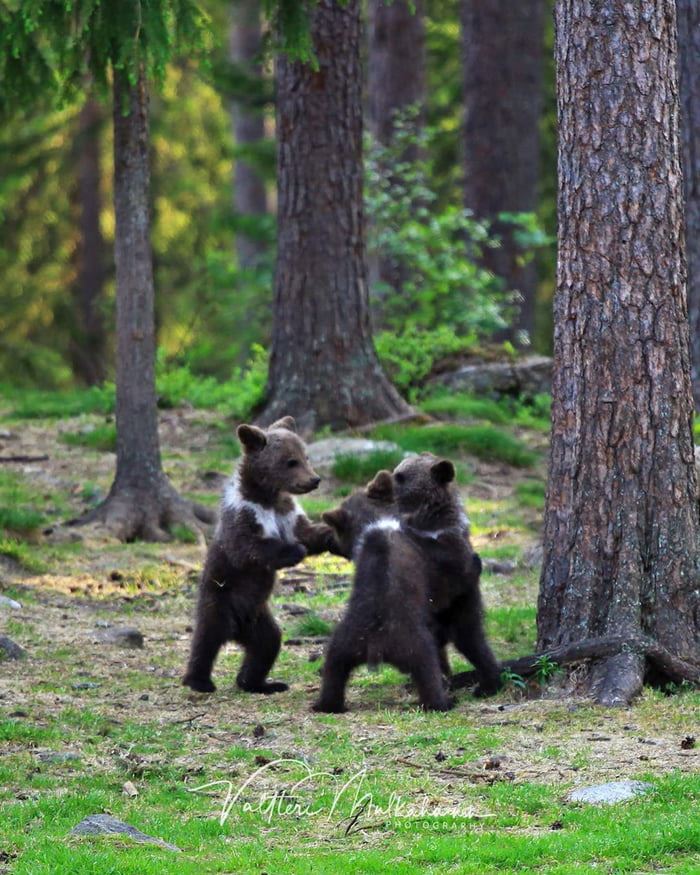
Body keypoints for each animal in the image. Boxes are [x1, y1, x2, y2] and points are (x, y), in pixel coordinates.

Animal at [182, 416, 336, 695]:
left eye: (306, 456)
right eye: (291, 461)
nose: (315, 480)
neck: (267, 496)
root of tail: (237, 630)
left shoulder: (287, 513)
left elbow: (306, 531)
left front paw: (331, 533)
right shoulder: (244, 515)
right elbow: (249, 549)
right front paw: (295, 551)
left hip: (258, 618)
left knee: (267, 644)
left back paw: (260, 683)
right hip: (220, 600)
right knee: (206, 640)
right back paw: (199, 681)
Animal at [314, 471, 453, 713]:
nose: (330, 543)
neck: (375, 522)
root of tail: (375, 644)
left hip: (343, 643)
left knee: (333, 671)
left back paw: (326, 704)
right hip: (416, 645)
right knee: (428, 669)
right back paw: (443, 702)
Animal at [393, 452, 502, 696]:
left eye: (400, 476)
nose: (388, 483)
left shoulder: (453, 546)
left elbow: (451, 560)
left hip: (462, 605)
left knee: (470, 640)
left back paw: (487, 684)